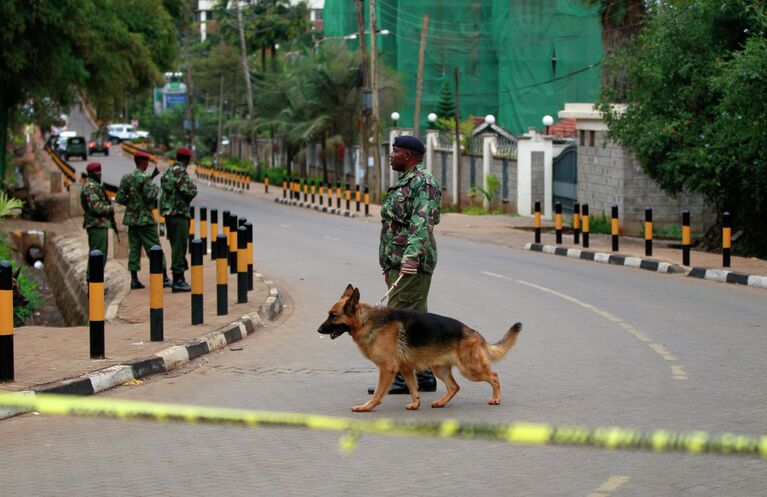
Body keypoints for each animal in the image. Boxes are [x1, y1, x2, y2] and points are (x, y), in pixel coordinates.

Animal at [316, 282, 520, 410]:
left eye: (333, 315)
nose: (318, 329)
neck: (368, 321)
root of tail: (474, 332)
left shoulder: (387, 368)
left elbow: (378, 393)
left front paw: (366, 407)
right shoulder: (406, 369)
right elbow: (414, 388)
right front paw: (415, 404)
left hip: (470, 369)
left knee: (494, 376)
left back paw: (496, 398)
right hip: (440, 369)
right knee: (454, 387)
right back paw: (441, 402)